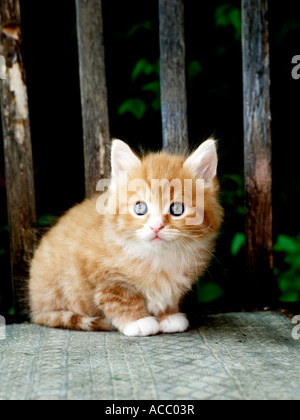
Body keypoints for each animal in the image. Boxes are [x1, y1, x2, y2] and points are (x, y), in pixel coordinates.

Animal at [29, 139, 223, 336]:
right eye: (140, 208)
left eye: (177, 209)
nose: (156, 226)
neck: (158, 257)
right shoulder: (105, 277)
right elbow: (120, 299)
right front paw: (138, 321)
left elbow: (169, 296)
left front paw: (168, 316)